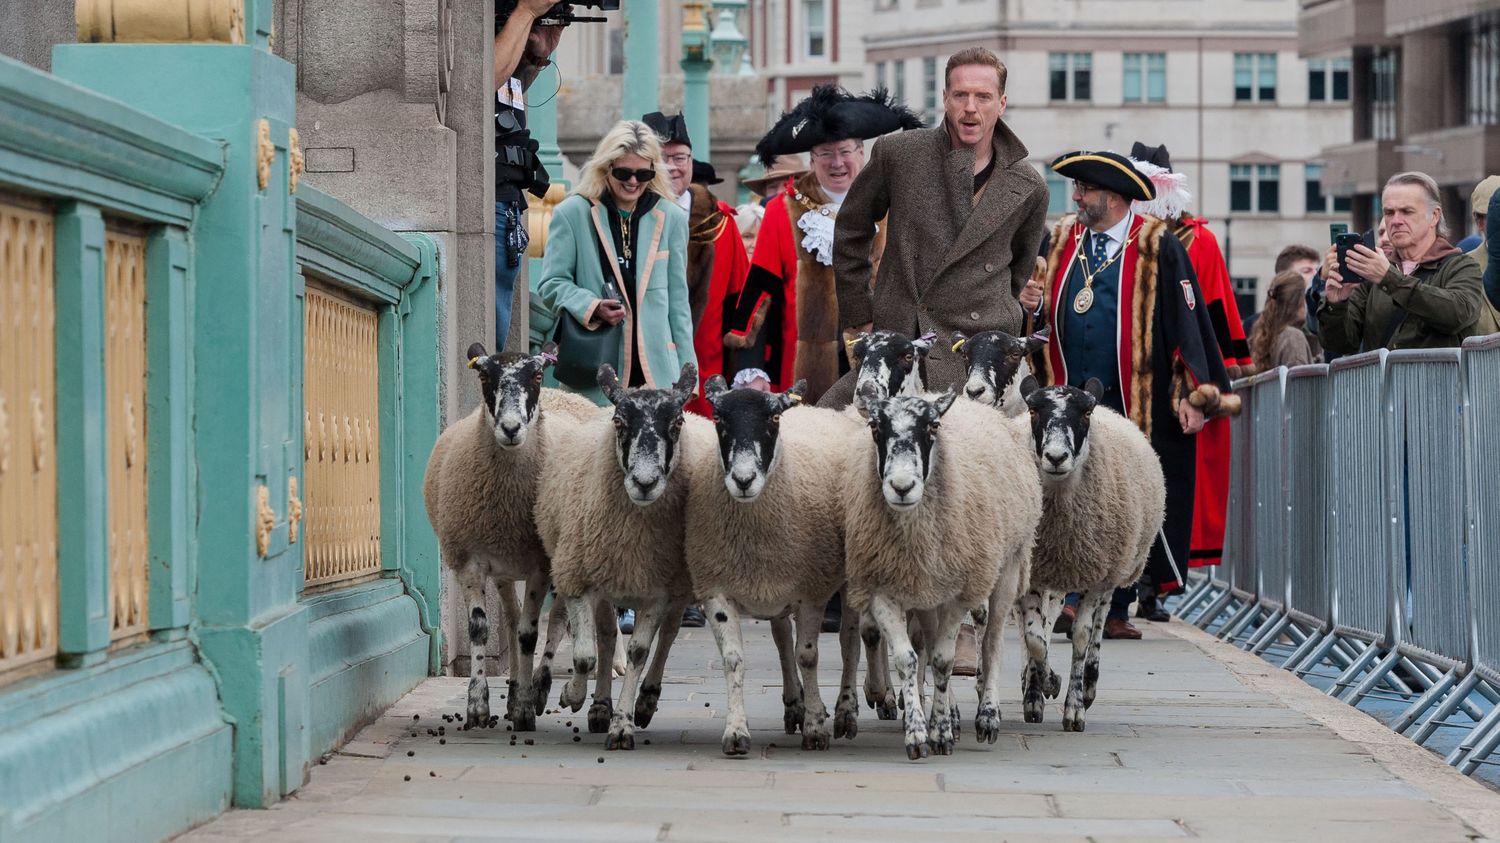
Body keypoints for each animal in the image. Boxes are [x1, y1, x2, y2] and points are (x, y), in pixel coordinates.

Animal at [420, 342, 600, 729]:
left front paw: (524, 710)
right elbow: (481, 629)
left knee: (555, 623)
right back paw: (519, 687)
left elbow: (531, 635)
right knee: (514, 618)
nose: (511, 428)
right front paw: (478, 705)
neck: (505, 498)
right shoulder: (470, 561)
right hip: (505, 569)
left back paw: (541, 688)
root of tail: (564, 394)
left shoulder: (540, 566)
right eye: (484, 376)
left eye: (536, 374)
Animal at [534, 361, 708, 747]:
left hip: (677, 584)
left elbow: (639, 653)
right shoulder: (579, 578)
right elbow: (585, 654)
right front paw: (573, 695)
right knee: (599, 633)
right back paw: (589, 703)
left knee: (668, 634)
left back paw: (644, 701)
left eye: (677, 423)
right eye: (619, 422)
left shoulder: (657, 591)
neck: (633, 537)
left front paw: (623, 724)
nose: (644, 483)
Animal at [684, 378, 864, 750]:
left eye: (774, 419)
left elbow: (808, 656)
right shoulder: (716, 589)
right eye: (719, 419)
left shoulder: (812, 592)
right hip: (775, 584)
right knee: (781, 641)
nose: (743, 479)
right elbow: (734, 659)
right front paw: (736, 731)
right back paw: (794, 705)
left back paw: (845, 712)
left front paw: (815, 728)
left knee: (849, 644)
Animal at [846, 381, 1044, 756]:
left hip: (1006, 567)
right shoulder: (883, 587)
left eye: (932, 427)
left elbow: (943, 659)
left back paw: (987, 716)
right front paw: (919, 734)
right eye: (875, 428)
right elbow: (908, 659)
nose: (902, 487)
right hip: (928, 592)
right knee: (929, 640)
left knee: (992, 643)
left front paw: (940, 733)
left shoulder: (961, 592)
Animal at [1014, 373, 1164, 729]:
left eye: (1085, 413)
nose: (1056, 457)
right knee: (1044, 621)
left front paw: (1074, 708)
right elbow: (1034, 637)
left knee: (1100, 622)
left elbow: (1081, 637)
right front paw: (1041, 688)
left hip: (1113, 567)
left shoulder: (1097, 574)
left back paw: (1090, 685)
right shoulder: (1033, 570)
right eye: (1033, 411)